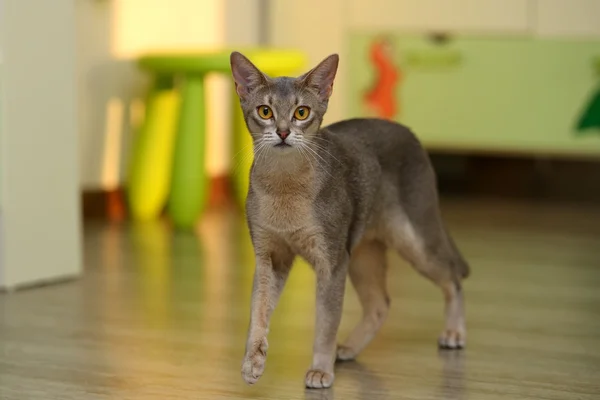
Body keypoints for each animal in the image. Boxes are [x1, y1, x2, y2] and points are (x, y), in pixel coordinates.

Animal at [230, 49, 468, 388]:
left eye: (301, 112)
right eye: (265, 111)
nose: (283, 132)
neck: (284, 187)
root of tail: (408, 131)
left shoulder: (331, 260)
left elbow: (326, 321)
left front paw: (320, 369)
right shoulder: (269, 255)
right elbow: (258, 311)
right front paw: (253, 362)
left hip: (414, 239)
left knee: (452, 278)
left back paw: (454, 332)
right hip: (362, 252)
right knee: (380, 303)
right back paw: (350, 348)